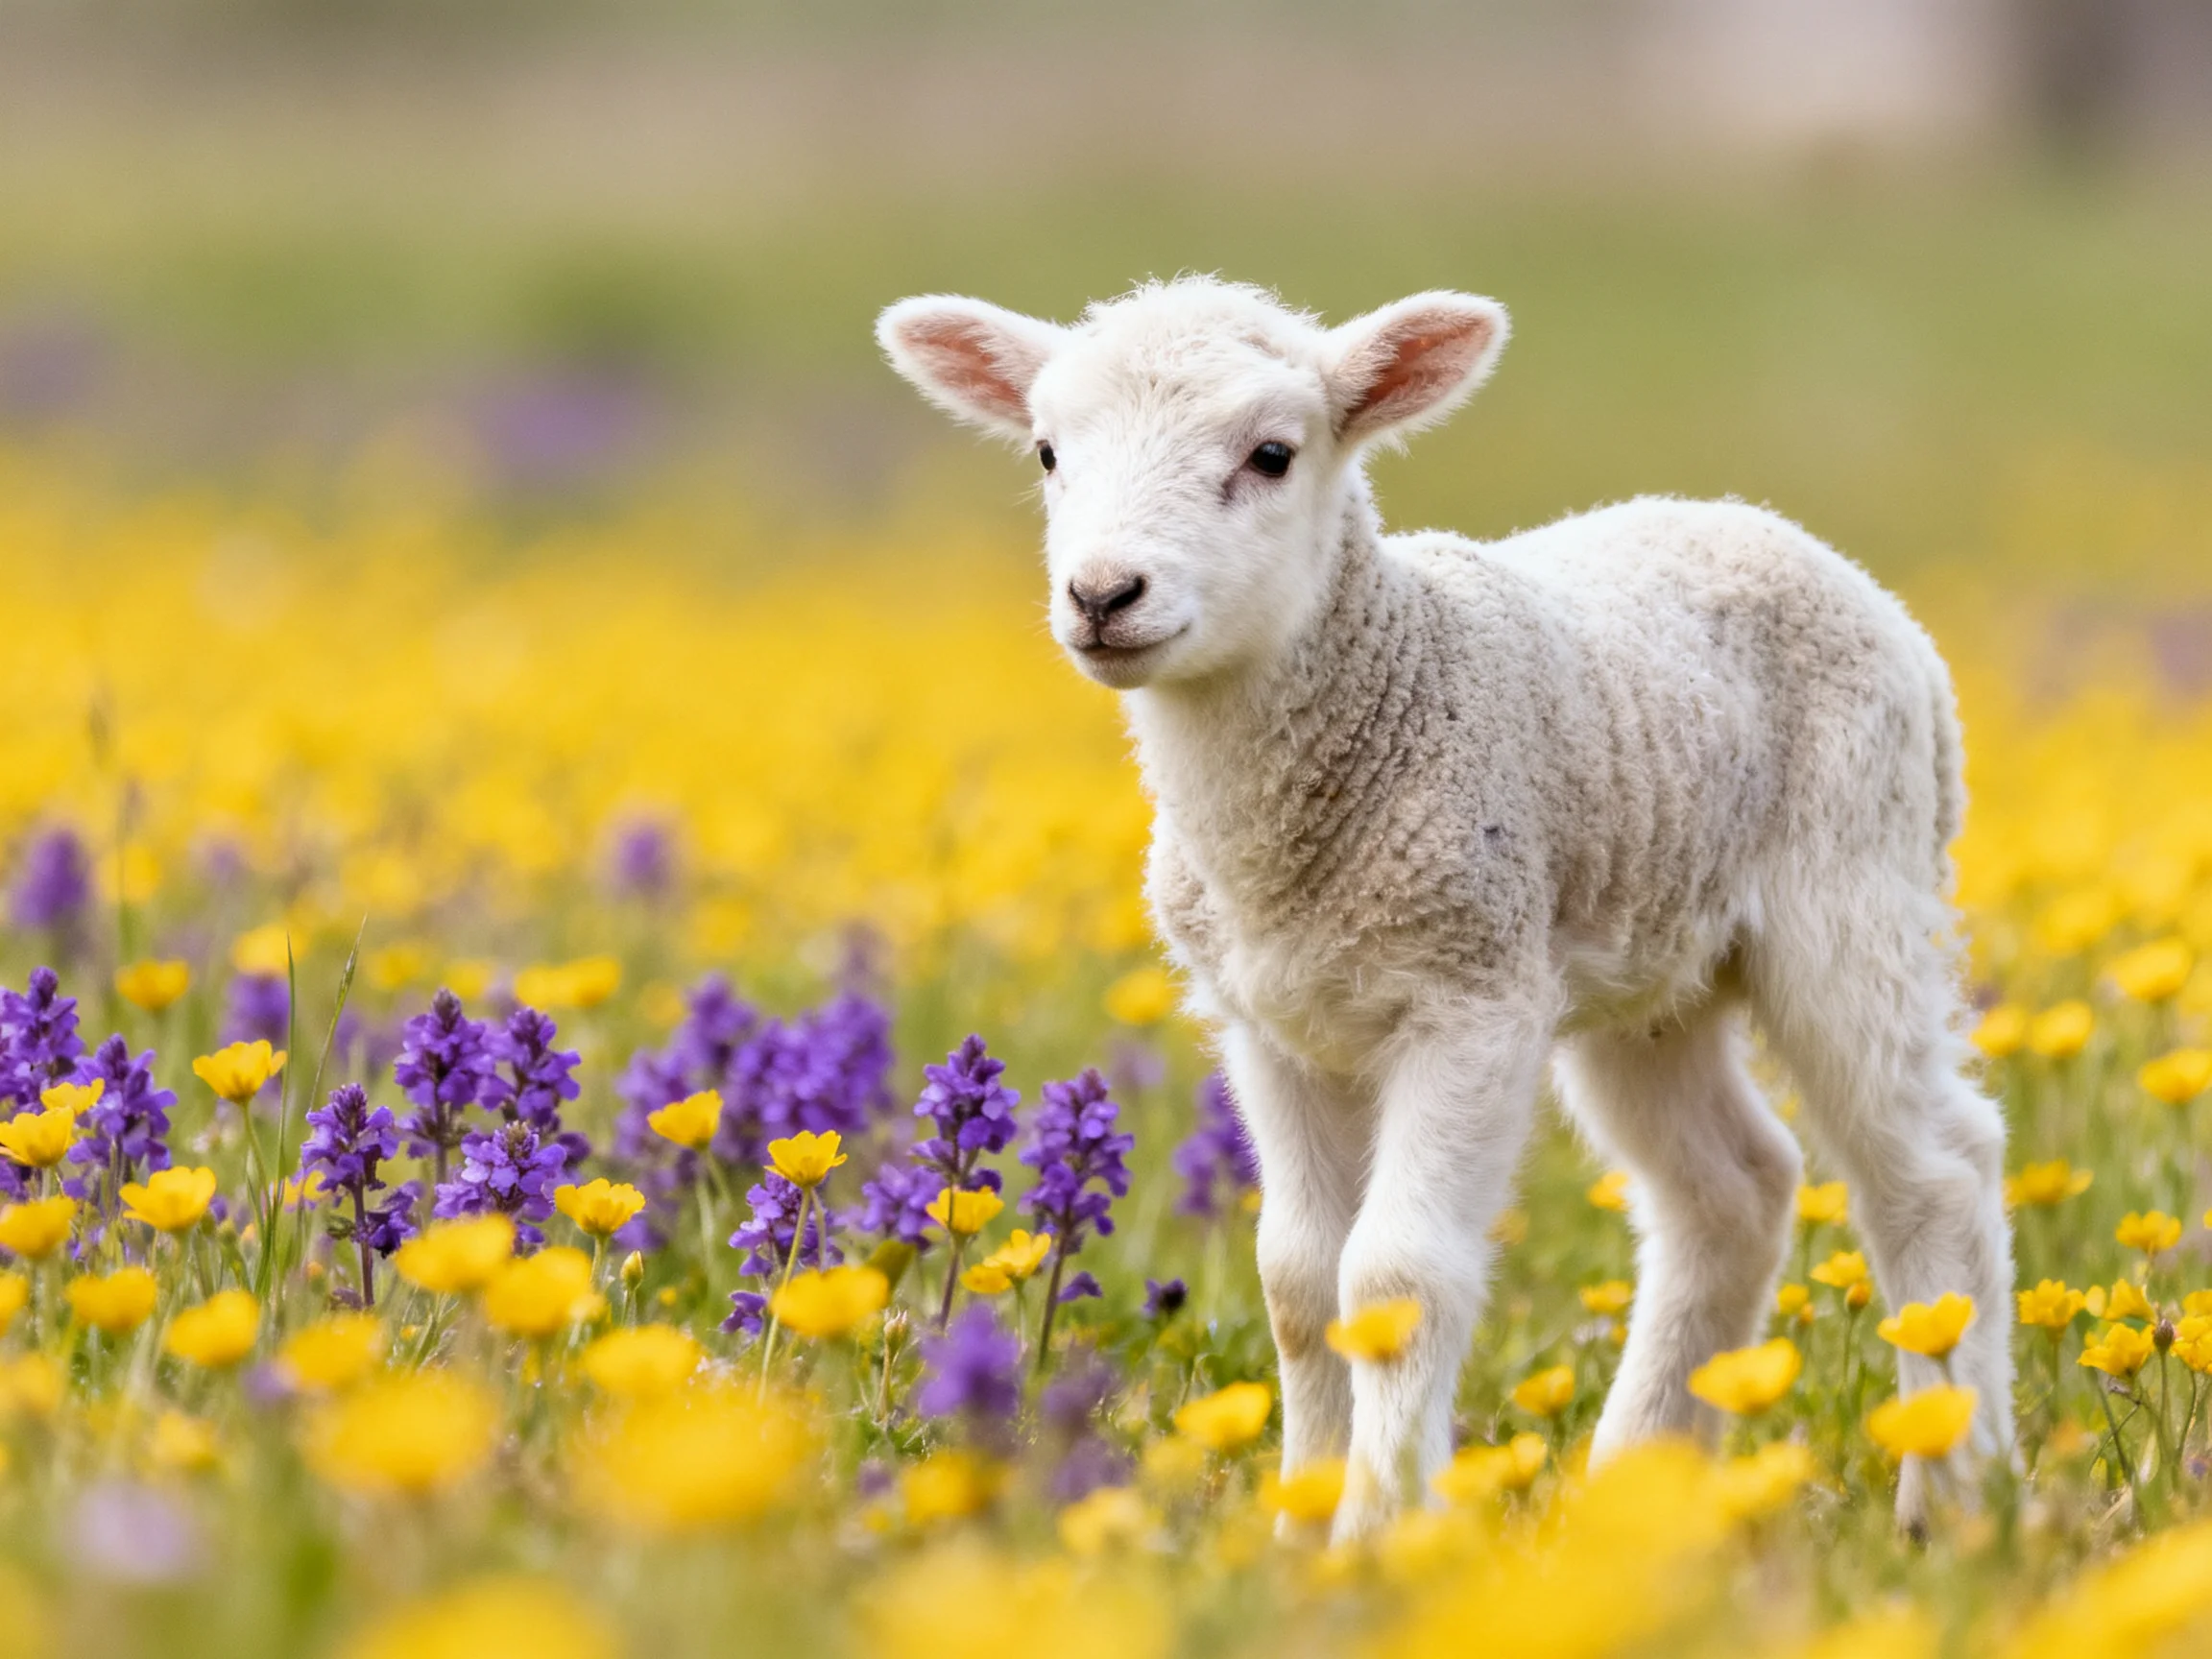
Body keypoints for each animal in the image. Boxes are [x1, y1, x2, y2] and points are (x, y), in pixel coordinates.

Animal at [876, 276, 2012, 1541]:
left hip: (1854, 887)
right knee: (1733, 1192)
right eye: (1046, 453)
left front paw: (1379, 1535)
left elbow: (1394, 1279)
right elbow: (1297, 1279)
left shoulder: (1469, 998)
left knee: (1935, 1174)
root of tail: (1767, 526)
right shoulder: (1269, 1026)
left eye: (1272, 455)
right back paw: (1632, 1491)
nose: (1103, 595)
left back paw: (1954, 1492)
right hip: (1645, 971)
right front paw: (1299, 1531)